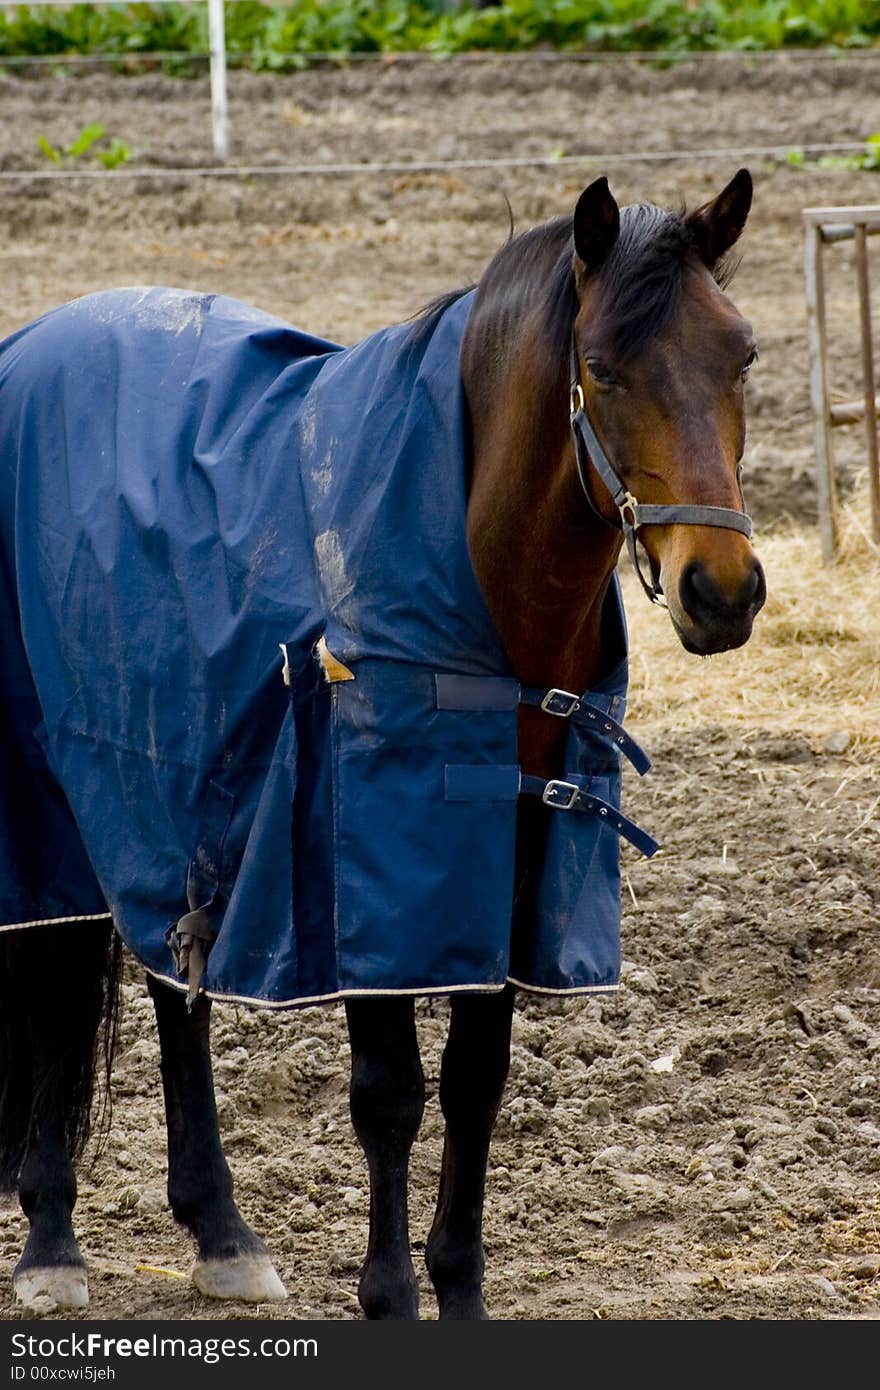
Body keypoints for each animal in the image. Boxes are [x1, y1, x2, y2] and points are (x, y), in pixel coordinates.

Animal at [0, 170, 761, 1312]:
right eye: (602, 369)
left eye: (741, 355)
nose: (723, 592)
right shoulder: (365, 870)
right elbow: (390, 1094)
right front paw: (392, 1297)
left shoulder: (510, 862)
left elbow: (476, 1083)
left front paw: (462, 1293)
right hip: (40, 783)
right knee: (52, 964)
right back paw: (50, 1244)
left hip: (163, 791)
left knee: (173, 984)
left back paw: (221, 1232)